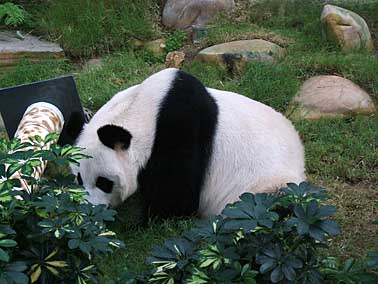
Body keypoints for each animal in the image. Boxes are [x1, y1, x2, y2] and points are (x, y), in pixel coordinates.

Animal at [71, 67, 306, 217]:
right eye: (79, 179)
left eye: (104, 182)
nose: (89, 208)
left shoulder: (181, 129)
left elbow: (178, 197)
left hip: (264, 184)